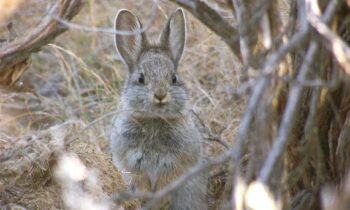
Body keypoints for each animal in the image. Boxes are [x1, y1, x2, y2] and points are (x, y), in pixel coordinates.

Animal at [110, 7, 208, 210]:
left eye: (174, 78)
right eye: (141, 78)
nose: (160, 95)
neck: (154, 119)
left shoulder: (177, 163)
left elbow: (168, 182)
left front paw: (161, 201)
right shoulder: (131, 162)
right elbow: (140, 182)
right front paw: (147, 199)